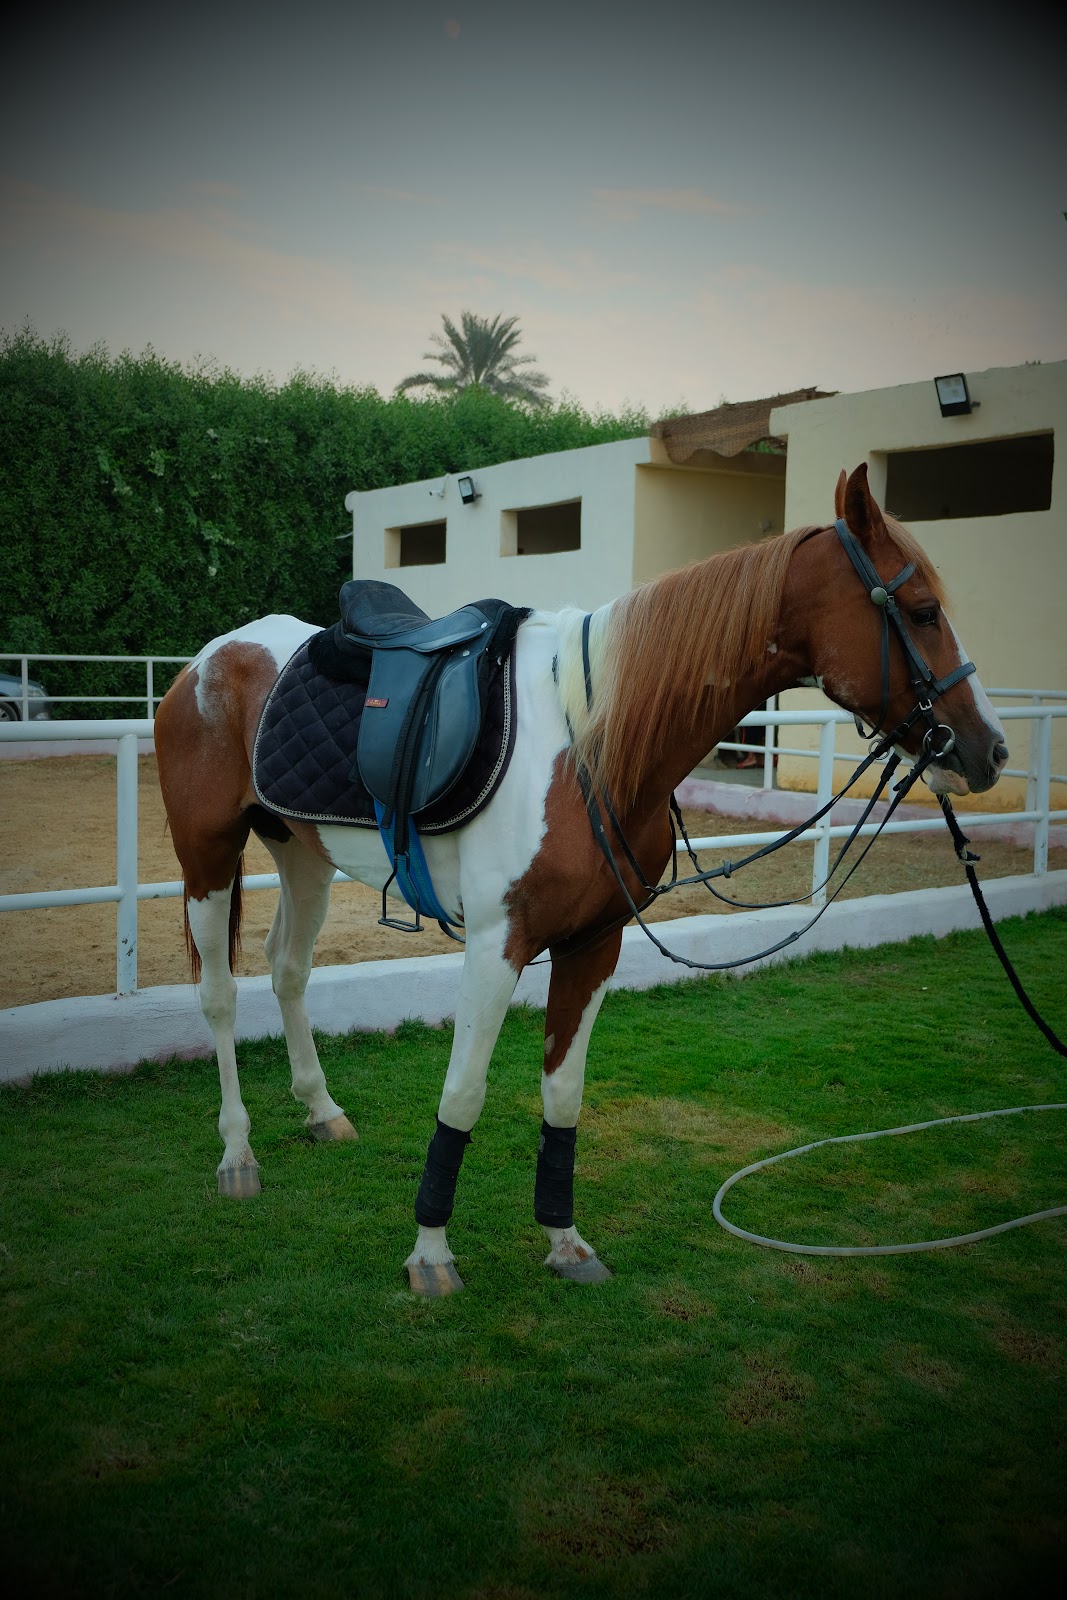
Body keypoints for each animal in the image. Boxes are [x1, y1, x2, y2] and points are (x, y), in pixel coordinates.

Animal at [154, 464, 1009, 1293]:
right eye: (922, 611)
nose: (990, 750)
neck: (590, 745)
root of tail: (211, 658)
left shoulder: (594, 943)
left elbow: (562, 1093)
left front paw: (564, 1242)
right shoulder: (496, 944)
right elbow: (462, 1092)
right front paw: (430, 1252)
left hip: (304, 856)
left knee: (287, 971)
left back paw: (320, 1109)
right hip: (207, 855)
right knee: (219, 993)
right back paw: (237, 1155)